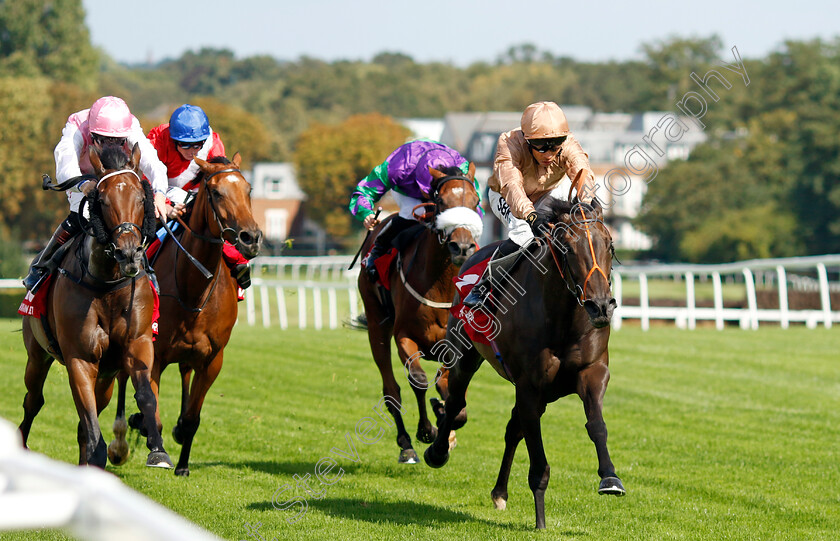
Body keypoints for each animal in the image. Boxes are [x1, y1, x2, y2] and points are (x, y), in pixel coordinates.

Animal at [19, 143, 172, 468]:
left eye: (142, 198)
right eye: (101, 200)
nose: (129, 254)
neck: (106, 285)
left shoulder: (137, 343)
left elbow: (145, 395)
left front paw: (157, 449)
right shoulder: (80, 358)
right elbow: (91, 432)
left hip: (107, 375)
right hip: (37, 354)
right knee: (33, 401)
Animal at [113, 152, 260, 472]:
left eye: (249, 190)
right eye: (216, 193)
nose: (250, 237)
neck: (194, 291)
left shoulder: (212, 359)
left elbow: (192, 418)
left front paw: (182, 460)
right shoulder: (153, 354)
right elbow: (151, 411)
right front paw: (148, 436)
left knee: (184, 373)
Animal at [358, 162, 482, 462]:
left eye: (475, 202)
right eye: (441, 202)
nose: (462, 246)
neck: (442, 286)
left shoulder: (456, 346)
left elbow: (448, 388)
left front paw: (445, 424)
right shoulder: (405, 336)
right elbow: (419, 380)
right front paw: (427, 431)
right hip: (377, 324)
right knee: (391, 390)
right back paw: (406, 443)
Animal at [424, 197, 628, 528]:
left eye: (609, 244)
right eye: (567, 248)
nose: (600, 306)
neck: (562, 319)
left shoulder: (592, 372)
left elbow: (596, 425)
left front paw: (610, 478)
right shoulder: (530, 386)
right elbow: (538, 462)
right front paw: (541, 522)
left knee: (512, 428)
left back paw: (499, 493)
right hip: (465, 353)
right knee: (455, 402)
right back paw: (438, 452)